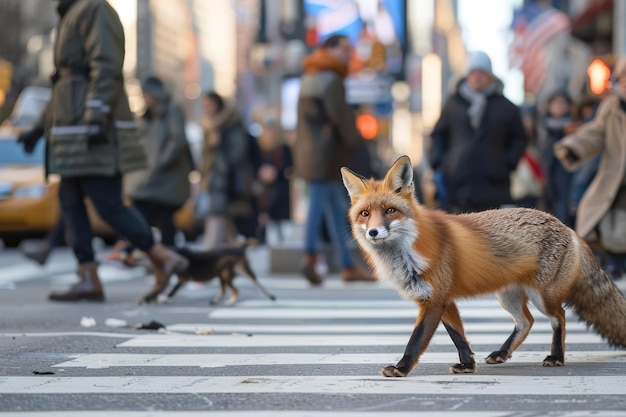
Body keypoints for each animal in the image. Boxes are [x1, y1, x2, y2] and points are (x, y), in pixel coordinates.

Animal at [141, 244, 278, 306]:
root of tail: (240, 248)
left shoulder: (183, 279)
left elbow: (172, 291)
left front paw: (163, 297)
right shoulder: (182, 279)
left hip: (227, 274)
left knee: (237, 289)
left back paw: (229, 302)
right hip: (226, 274)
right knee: (231, 289)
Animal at [338, 155, 624, 376]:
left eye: (389, 211)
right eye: (365, 214)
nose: (373, 232)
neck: (408, 252)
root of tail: (567, 226)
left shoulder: (435, 300)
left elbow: (416, 339)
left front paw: (401, 368)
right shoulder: (441, 300)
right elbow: (459, 337)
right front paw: (467, 365)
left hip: (543, 297)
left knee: (559, 318)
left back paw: (556, 357)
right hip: (507, 297)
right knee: (526, 322)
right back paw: (502, 353)